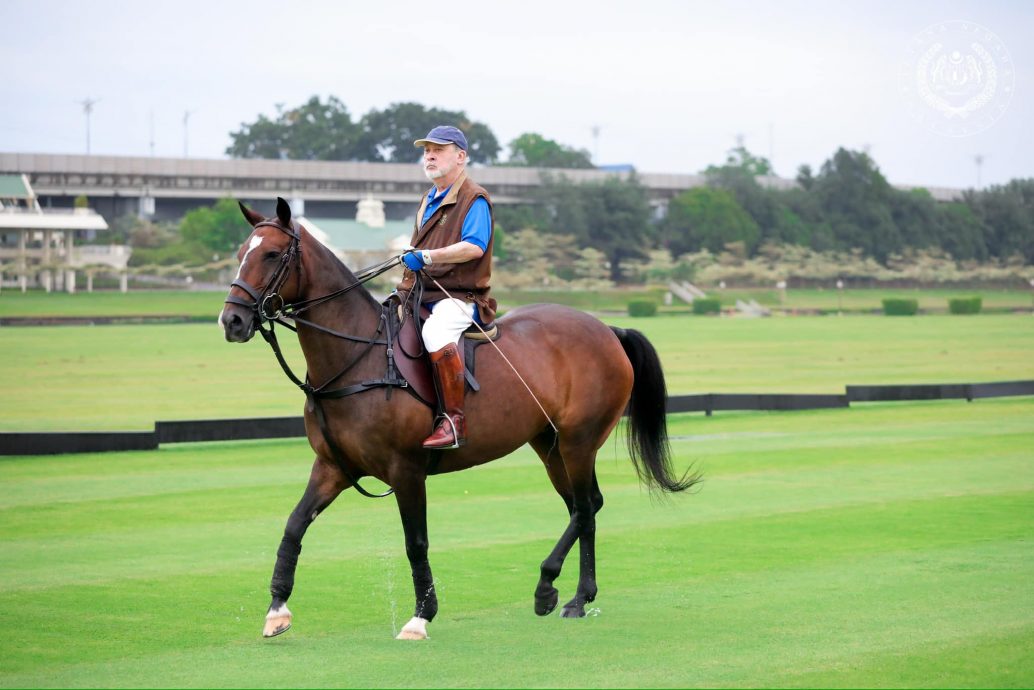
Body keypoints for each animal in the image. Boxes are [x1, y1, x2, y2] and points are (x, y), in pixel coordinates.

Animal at [221, 196, 698, 641]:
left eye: (272, 254)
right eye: (242, 250)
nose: (232, 320)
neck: (357, 358)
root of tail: (608, 330)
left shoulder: (406, 470)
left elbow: (415, 542)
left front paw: (421, 616)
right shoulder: (333, 467)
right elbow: (294, 526)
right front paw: (277, 610)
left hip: (579, 441)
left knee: (583, 506)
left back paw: (551, 588)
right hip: (550, 445)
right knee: (585, 506)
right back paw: (579, 595)